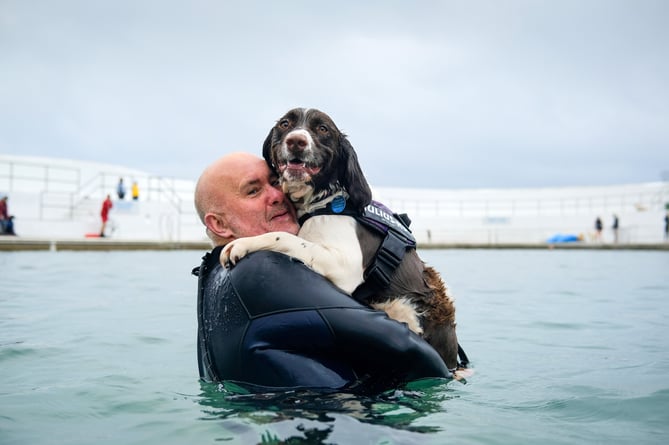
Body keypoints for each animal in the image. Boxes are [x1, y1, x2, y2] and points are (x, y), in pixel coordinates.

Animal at [222, 109, 468, 372]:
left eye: (322, 129)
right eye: (285, 124)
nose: (296, 141)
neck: (323, 201)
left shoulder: (344, 265)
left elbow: (284, 236)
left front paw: (243, 243)